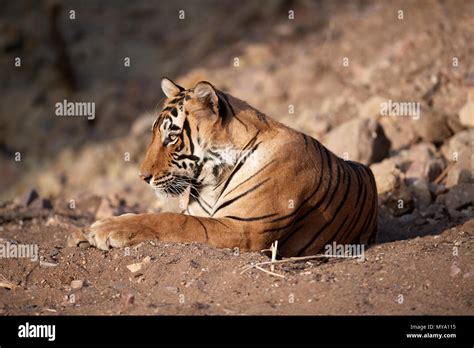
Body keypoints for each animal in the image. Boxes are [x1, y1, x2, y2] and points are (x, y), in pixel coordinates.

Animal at [68, 79, 378, 256]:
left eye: (171, 137)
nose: (142, 177)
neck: (209, 182)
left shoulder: (245, 229)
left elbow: (171, 220)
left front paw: (106, 229)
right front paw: (83, 232)